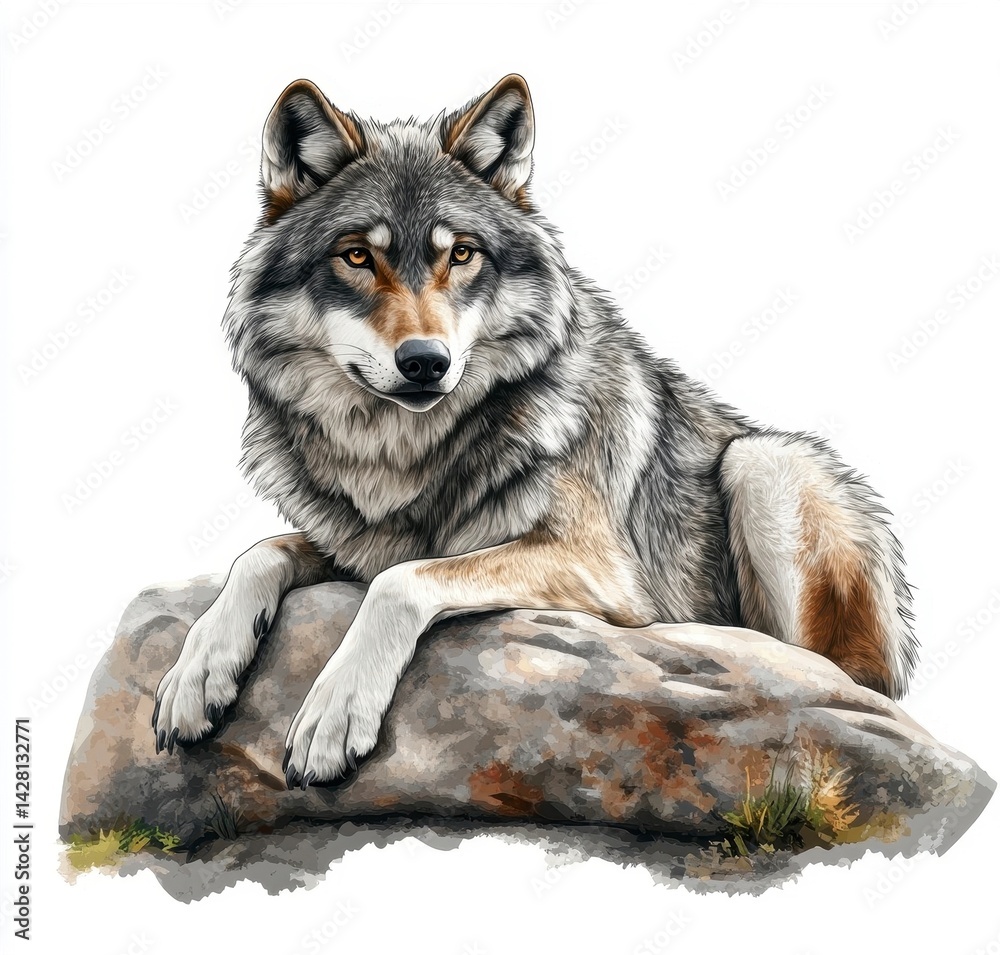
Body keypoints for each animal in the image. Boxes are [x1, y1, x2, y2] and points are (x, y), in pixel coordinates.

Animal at [152, 75, 918, 788]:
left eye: (461, 254)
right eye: (357, 257)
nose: (425, 362)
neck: (403, 455)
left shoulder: (598, 568)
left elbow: (400, 582)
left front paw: (335, 713)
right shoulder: (353, 544)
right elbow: (262, 554)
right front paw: (197, 673)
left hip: (766, 461)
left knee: (829, 673)